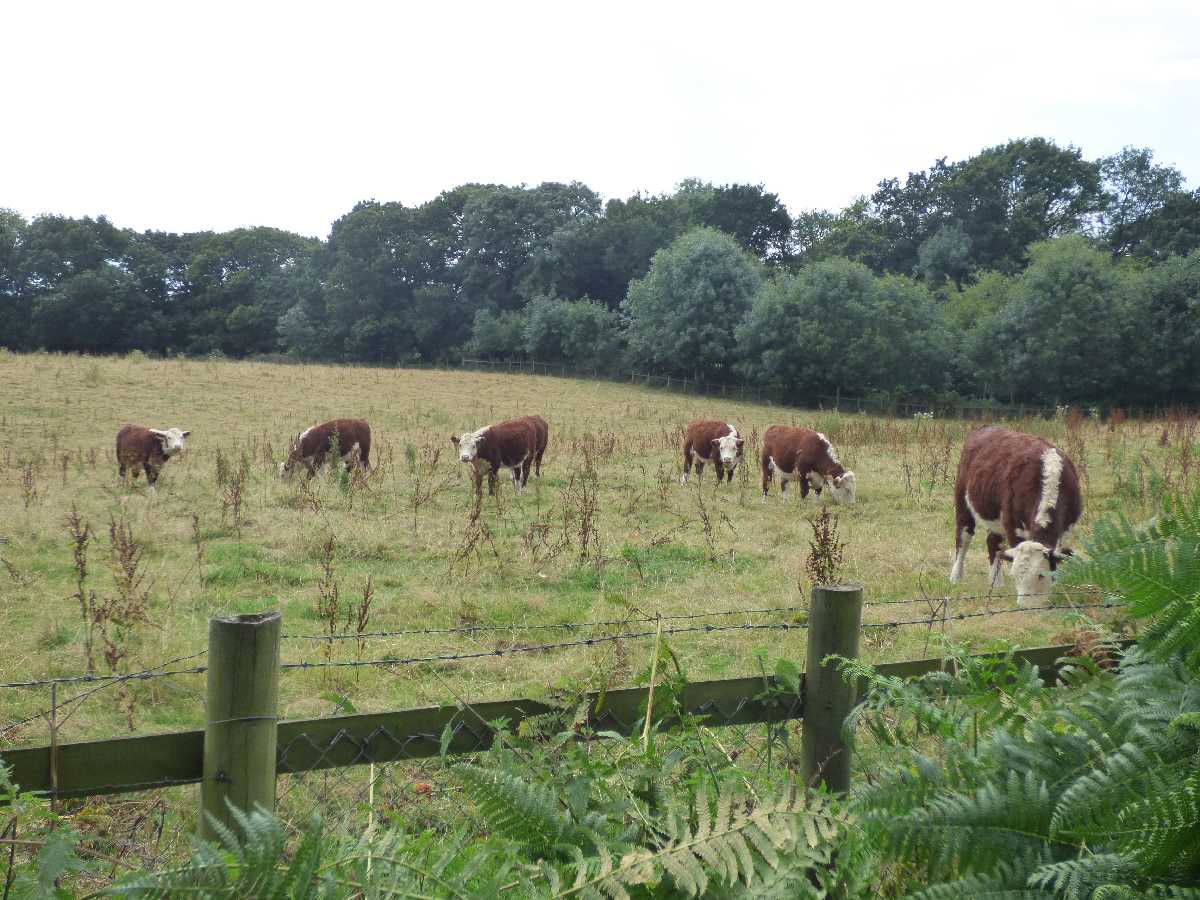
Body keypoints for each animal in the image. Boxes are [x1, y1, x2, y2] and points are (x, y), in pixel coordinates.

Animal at [950, 424, 1084, 607]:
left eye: (1041, 575)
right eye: (1015, 576)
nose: (1025, 606)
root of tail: (985, 428)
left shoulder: (1065, 529)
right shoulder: (1013, 524)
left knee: (993, 542)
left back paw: (996, 582)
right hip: (963, 499)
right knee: (963, 537)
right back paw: (955, 577)